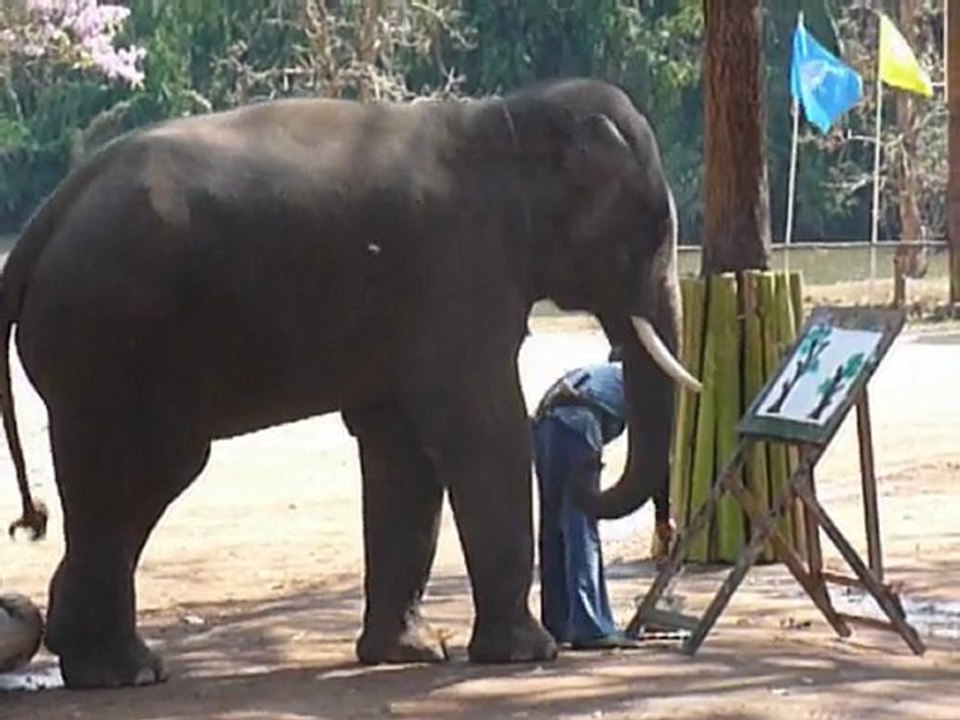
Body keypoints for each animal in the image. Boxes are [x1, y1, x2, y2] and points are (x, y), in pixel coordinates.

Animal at [1, 76, 700, 689]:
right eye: (644, 229)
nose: (586, 474)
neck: (508, 116)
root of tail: (42, 222)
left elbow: (402, 452)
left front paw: (409, 654)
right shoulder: (457, 273)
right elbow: (479, 428)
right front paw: (528, 655)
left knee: (127, 488)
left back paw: (99, 662)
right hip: (108, 340)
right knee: (144, 471)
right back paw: (124, 672)